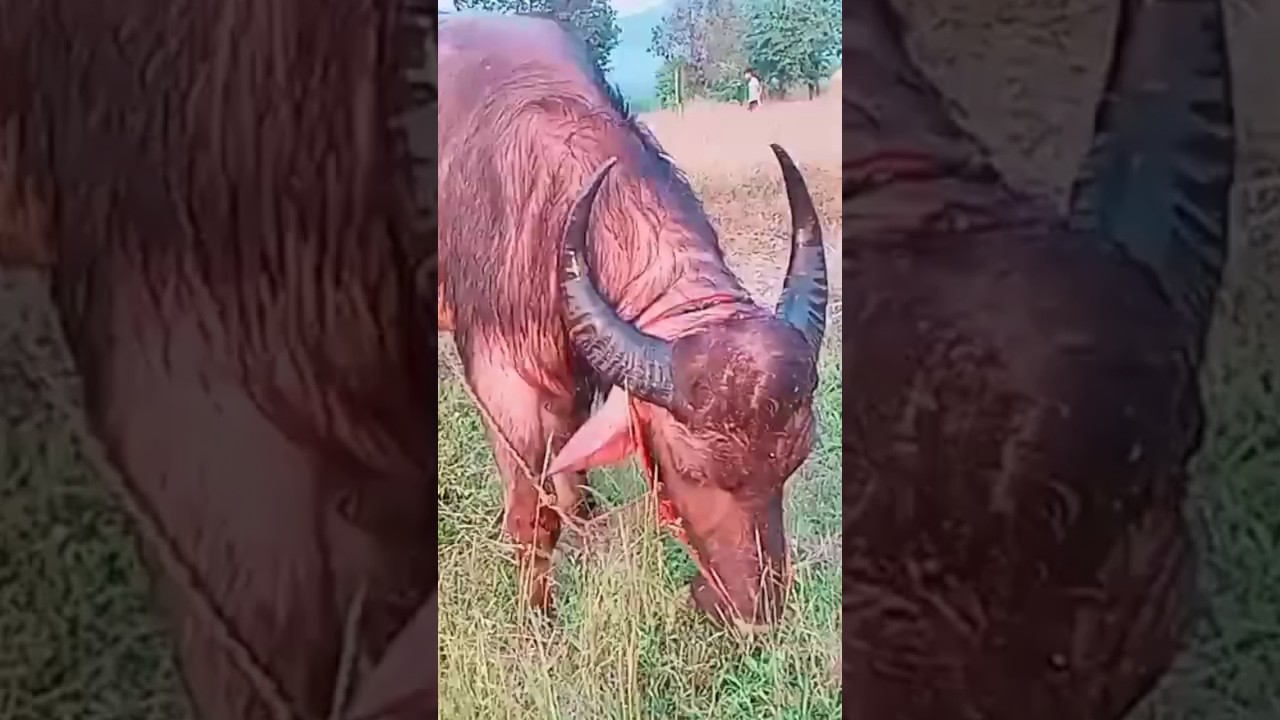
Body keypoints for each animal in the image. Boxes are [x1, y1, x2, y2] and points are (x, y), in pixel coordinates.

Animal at [438, 13, 829, 629]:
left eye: (795, 459)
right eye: (692, 471)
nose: (754, 614)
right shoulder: (506, 383)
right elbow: (534, 516)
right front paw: (538, 616)